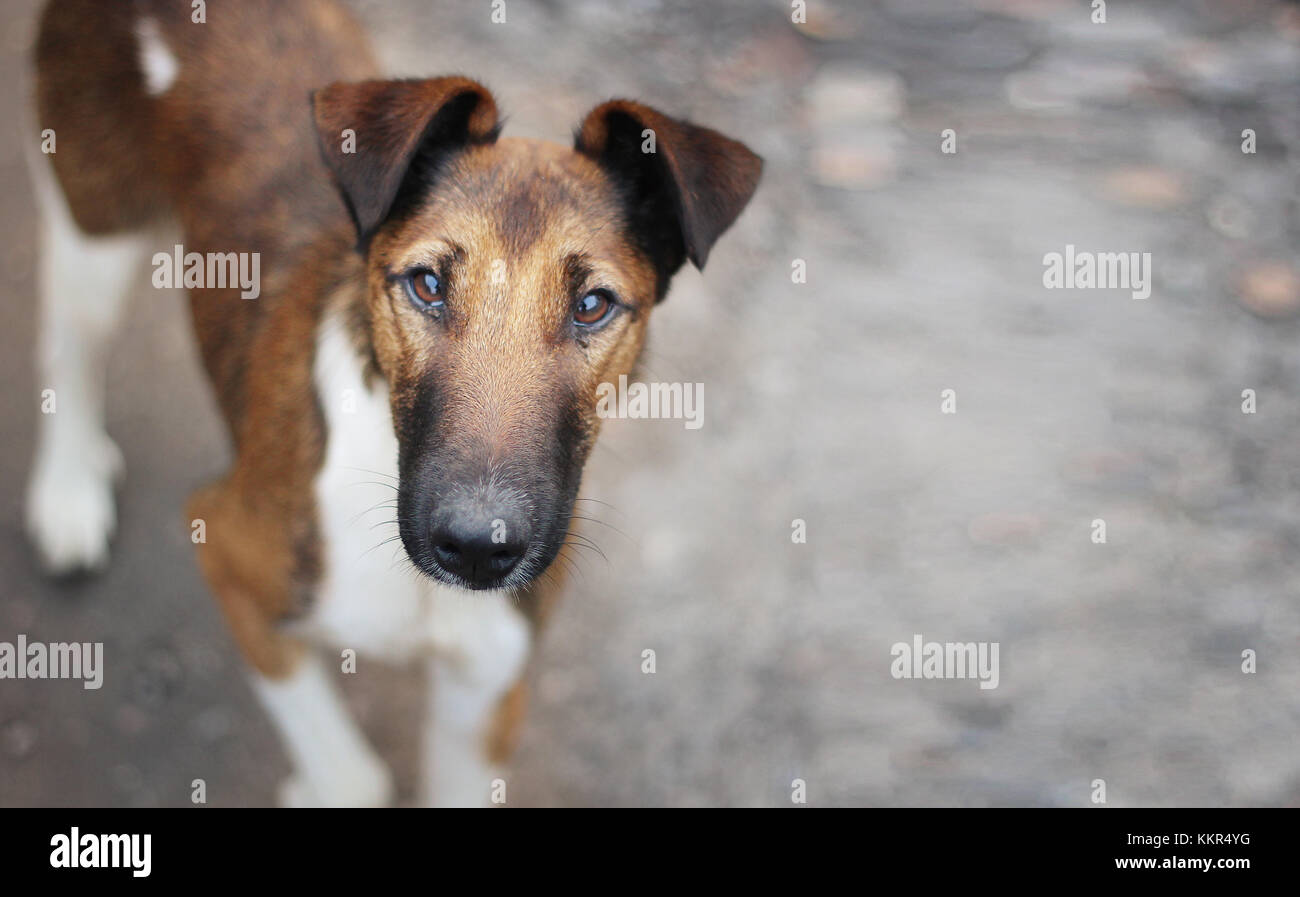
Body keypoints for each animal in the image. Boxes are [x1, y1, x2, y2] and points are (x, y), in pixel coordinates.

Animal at [25, 0, 759, 806]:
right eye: (426, 284)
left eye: (592, 305)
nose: (478, 548)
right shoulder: (230, 556)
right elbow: (354, 774)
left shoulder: (484, 697)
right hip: (96, 222)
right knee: (68, 346)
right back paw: (68, 492)